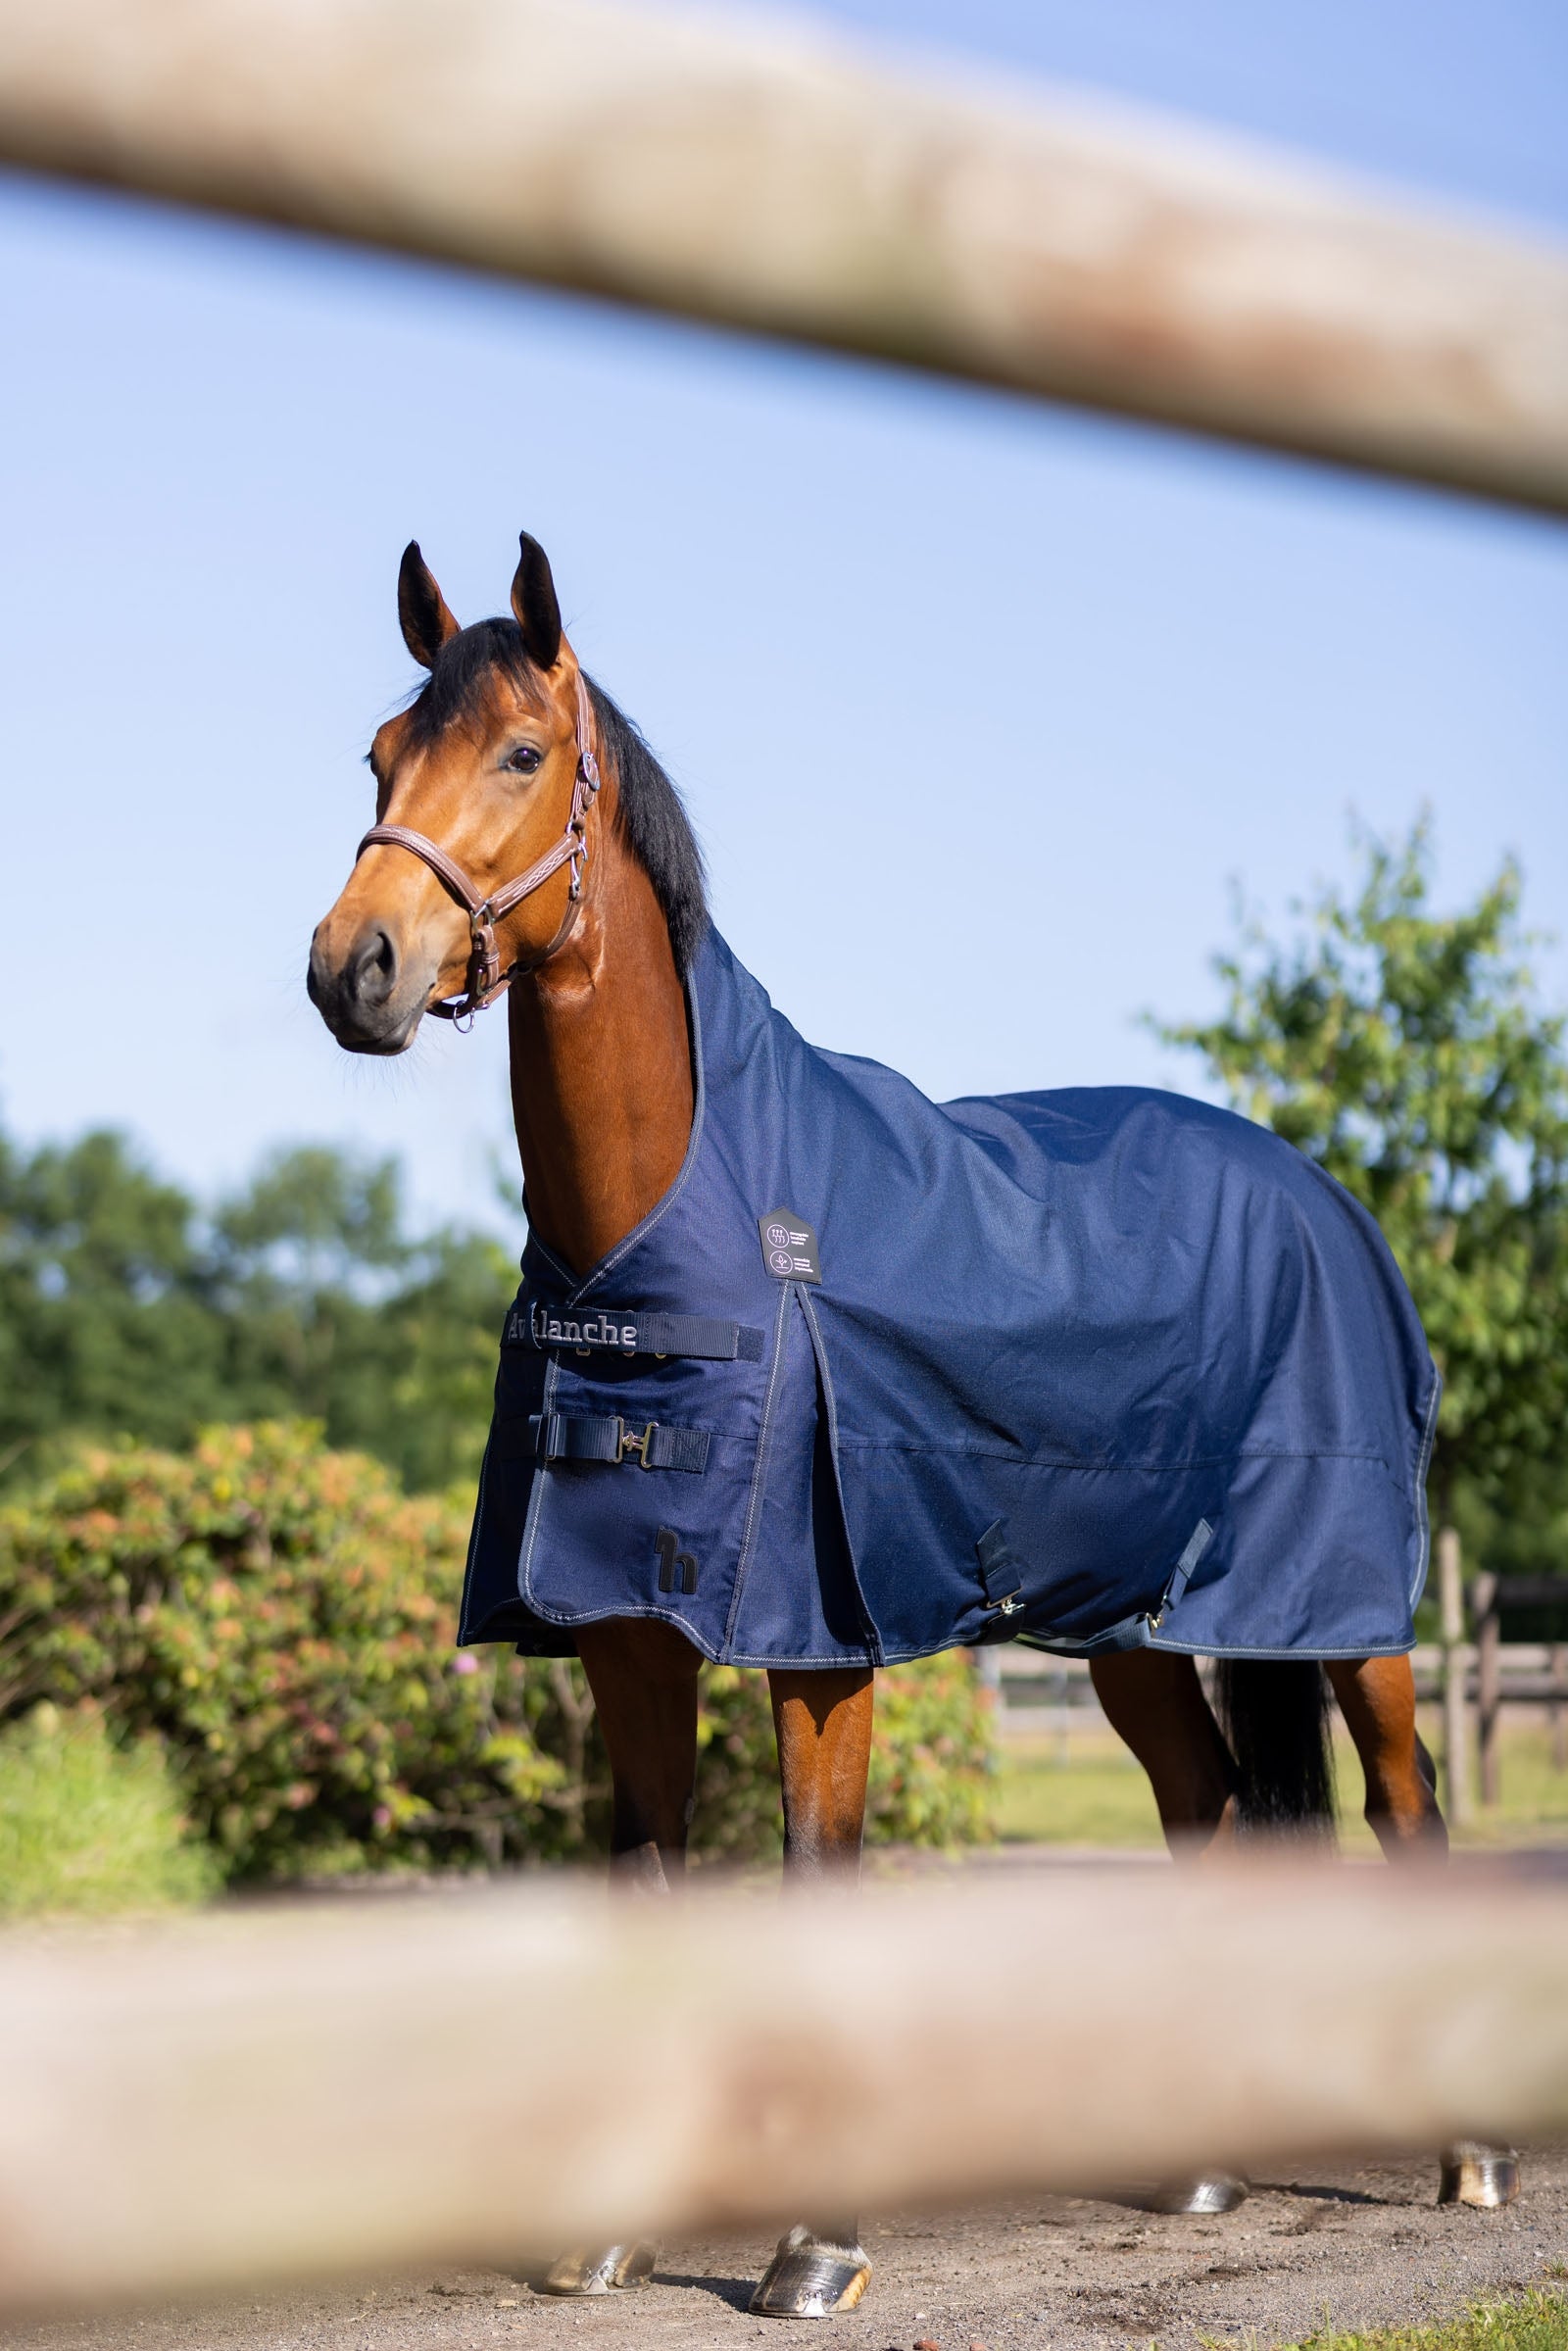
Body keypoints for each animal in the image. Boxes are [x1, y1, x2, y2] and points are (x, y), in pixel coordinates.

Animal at [308, 531, 1517, 2318]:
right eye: (381, 757)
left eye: (520, 753)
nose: (354, 968)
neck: (674, 1239)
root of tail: (1329, 1199)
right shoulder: (625, 1632)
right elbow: (647, 1882)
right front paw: (610, 2229)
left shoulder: (818, 1641)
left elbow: (818, 1882)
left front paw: (818, 2241)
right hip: (1130, 1624)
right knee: (1209, 1807)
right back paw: (1206, 2165)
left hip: (1346, 1608)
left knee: (1408, 1803)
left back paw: (1471, 2151)